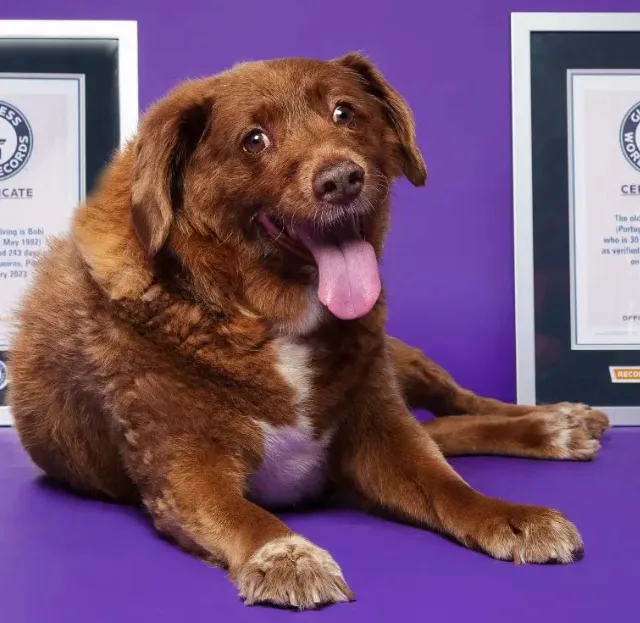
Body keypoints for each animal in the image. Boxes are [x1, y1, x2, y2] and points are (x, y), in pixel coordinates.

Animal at [8, 52, 608, 608]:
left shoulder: (382, 429)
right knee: (444, 430)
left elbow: (448, 486)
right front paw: (288, 556)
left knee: (460, 406)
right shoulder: (186, 471)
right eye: (254, 140)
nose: (341, 178)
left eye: (345, 112)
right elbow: (245, 516)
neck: (266, 318)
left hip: (399, 358)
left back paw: (556, 424)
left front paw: (512, 516)